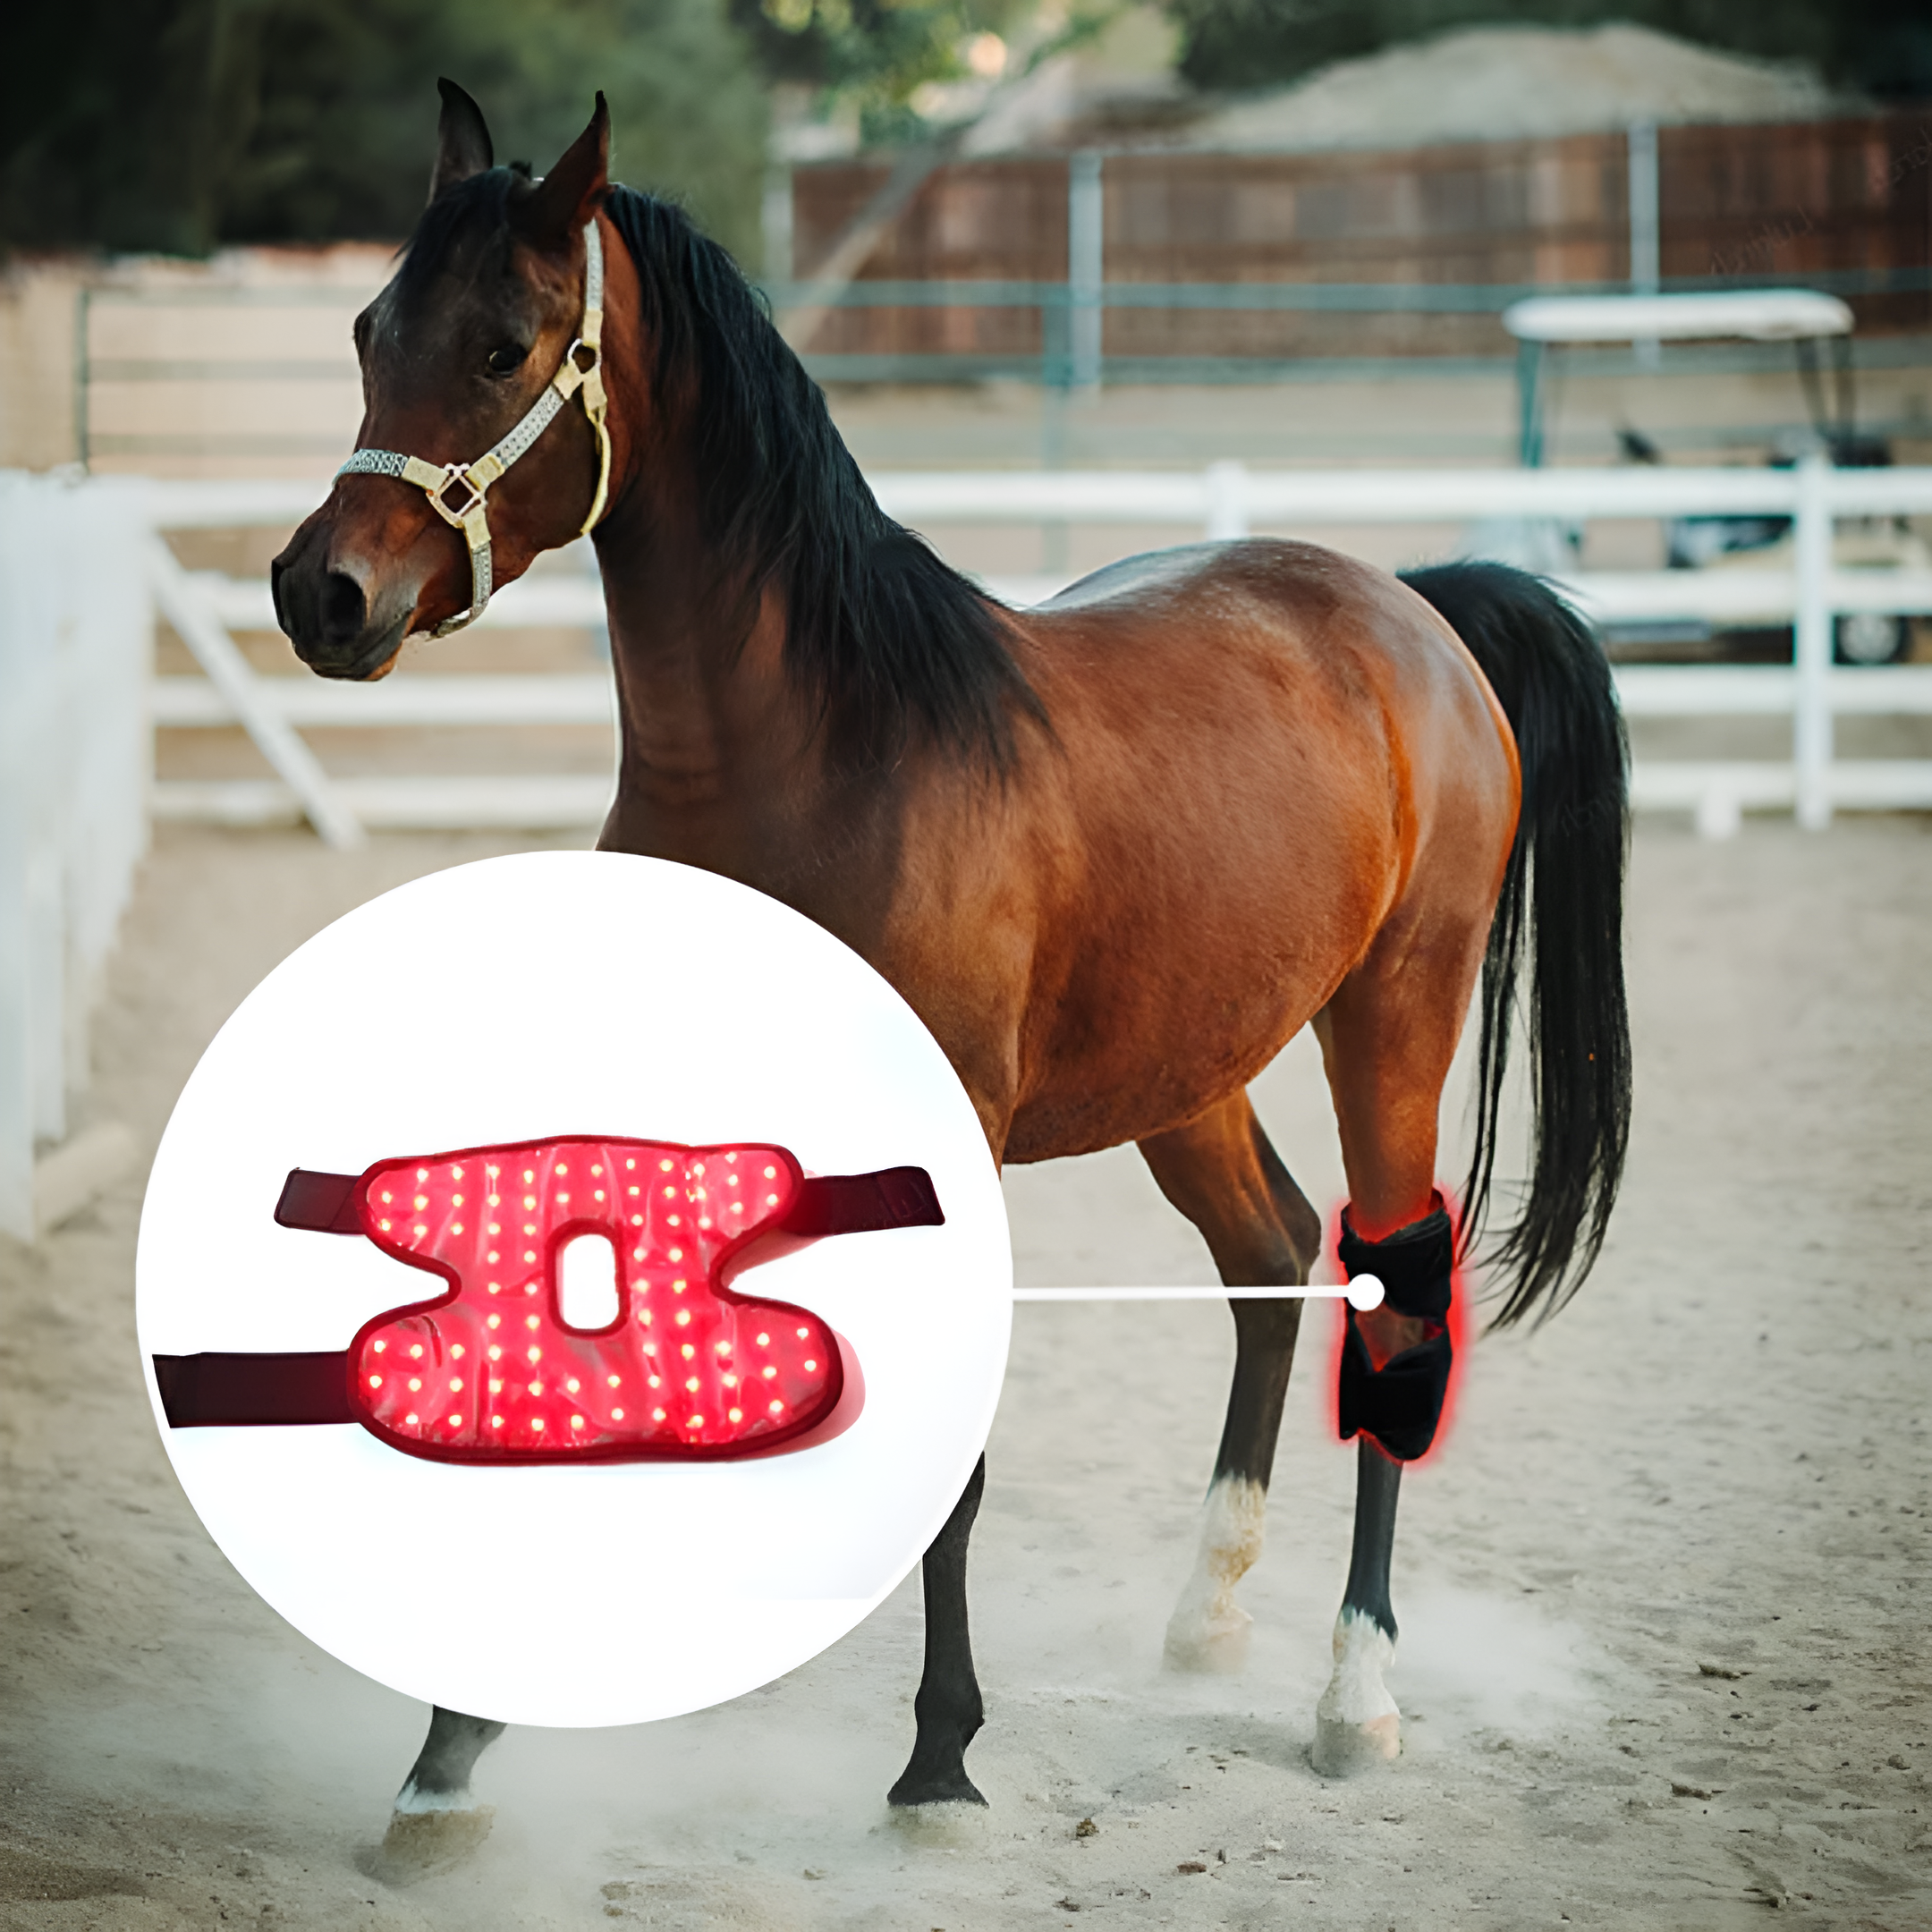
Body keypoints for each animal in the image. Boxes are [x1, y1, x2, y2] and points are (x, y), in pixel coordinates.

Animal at [271, 82, 1630, 1863]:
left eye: (504, 345)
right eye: (374, 327)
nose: (321, 591)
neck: (822, 757)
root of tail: (1410, 609)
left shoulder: (948, 1140)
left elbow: (950, 1463)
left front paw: (938, 1761)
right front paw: (456, 1756)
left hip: (1393, 1019)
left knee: (1393, 1301)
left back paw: (1357, 1697)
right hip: (1189, 1070)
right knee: (1269, 1257)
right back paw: (1207, 1618)